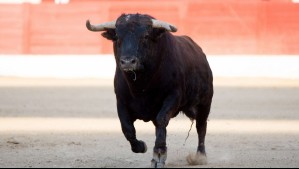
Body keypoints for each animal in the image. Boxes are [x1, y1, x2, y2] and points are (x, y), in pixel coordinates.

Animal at [85, 13, 214, 168]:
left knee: (201, 127)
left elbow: (162, 120)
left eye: (146, 36)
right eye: (117, 36)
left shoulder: (173, 96)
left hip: (205, 103)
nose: (128, 62)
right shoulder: (121, 101)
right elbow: (127, 128)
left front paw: (159, 154)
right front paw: (142, 147)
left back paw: (200, 156)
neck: (142, 85)